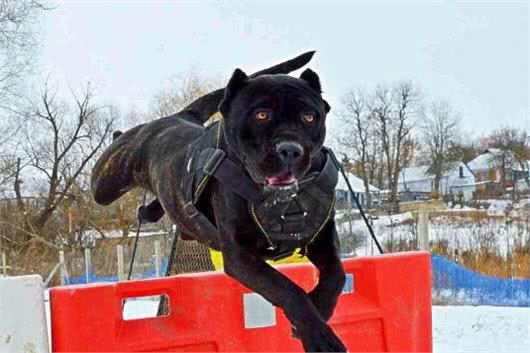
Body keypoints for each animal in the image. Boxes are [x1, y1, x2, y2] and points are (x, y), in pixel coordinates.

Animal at [91, 53, 346, 350]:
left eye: (309, 116)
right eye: (261, 114)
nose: (291, 149)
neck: (284, 200)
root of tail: (178, 116)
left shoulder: (323, 237)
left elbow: (336, 275)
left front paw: (318, 311)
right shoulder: (239, 255)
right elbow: (286, 288)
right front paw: (319, 337)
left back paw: (149, 211)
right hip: (106, 182)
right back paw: (117, 135)